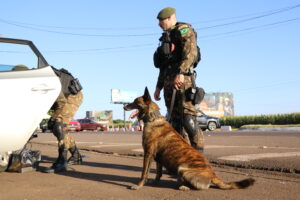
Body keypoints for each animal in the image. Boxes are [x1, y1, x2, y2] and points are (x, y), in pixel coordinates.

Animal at [123, 88, 254, 191]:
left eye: (135, 101)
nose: (124, 106)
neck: (153, 119)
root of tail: (213, 174)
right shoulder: (157, 158)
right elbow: (158, 173)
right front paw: (154, 182)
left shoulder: (148, 154)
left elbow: (144, 173)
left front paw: (139, 185)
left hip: (182, 169)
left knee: (200, 187)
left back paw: (184, 186)